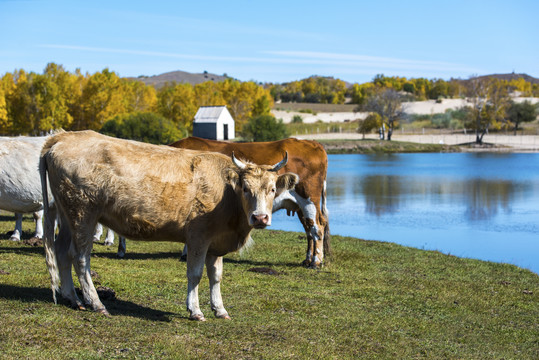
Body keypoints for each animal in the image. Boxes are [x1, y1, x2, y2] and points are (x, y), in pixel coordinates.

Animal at [40, 130, 298, 320]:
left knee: (62, 252)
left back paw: (73, 298)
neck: (227, 194)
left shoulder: (216, 241)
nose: (260, 218)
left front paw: (220, 309)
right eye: (245, 188)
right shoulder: (198, 236)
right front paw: (195, 310)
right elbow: (195, 274)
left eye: (272, 189)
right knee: (80, 258)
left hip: (67, 215)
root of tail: (63, 137)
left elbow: (216, 276)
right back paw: (96, 302)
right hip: (83, 215)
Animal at [171, 136, 332, 268]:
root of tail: (313, 143)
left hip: (309, 199)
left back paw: (316, 262)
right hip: (300, 205)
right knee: (308, 228)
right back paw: (308, 259)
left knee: (317, 226)